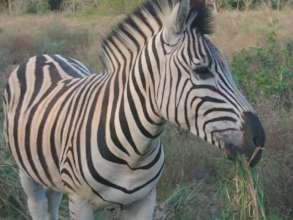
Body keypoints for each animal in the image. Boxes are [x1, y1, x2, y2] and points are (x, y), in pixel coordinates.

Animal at [4, 0, 264, 220]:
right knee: (38, 205)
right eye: (201, 71)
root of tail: (43, 55)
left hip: (52, 174)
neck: (134, 153)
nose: (259, 139)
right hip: (27, 173)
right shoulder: (80, 202)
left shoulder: (144, 200)